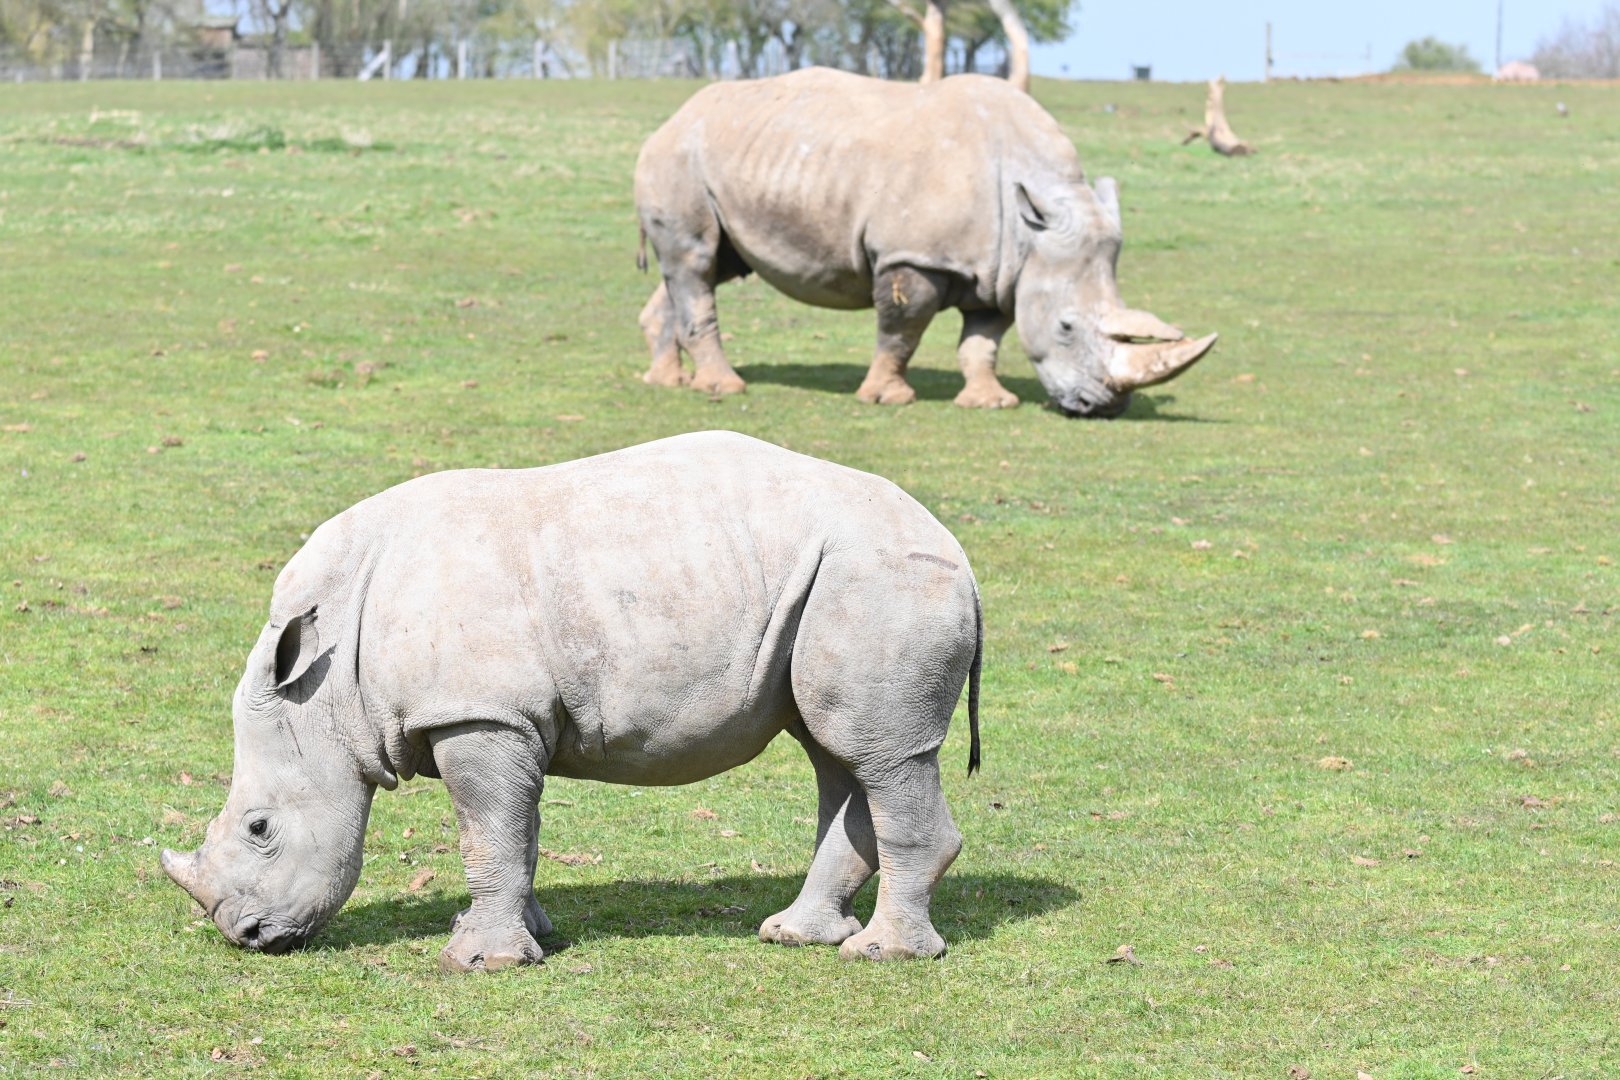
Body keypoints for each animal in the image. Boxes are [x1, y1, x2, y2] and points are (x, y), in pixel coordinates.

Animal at [162, 431, 983, 970]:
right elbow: (515, 834)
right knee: (837, 749)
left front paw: (478, 963)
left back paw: (883, 955)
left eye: (260, 829)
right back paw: (794, 935)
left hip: (882, 577)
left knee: (879, 755)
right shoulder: (510, 719)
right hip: (834, 584)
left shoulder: (477, 713)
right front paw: (530, 935)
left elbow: (485, 833)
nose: (246, 937)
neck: (328, 687)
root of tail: (960, 555)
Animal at [635, 67, 1216, 418]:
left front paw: (990, 403)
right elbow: (902, 328)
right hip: (679, 158)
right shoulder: (914, 255)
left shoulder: (1004, 269)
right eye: (1067, 328)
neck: (1029, 226)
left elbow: (984, 339)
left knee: (702, 266)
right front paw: (887, 398)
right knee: (695, 262)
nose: (1104, 407)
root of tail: (670, 120)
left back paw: (666, 381)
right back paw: (724, 388)